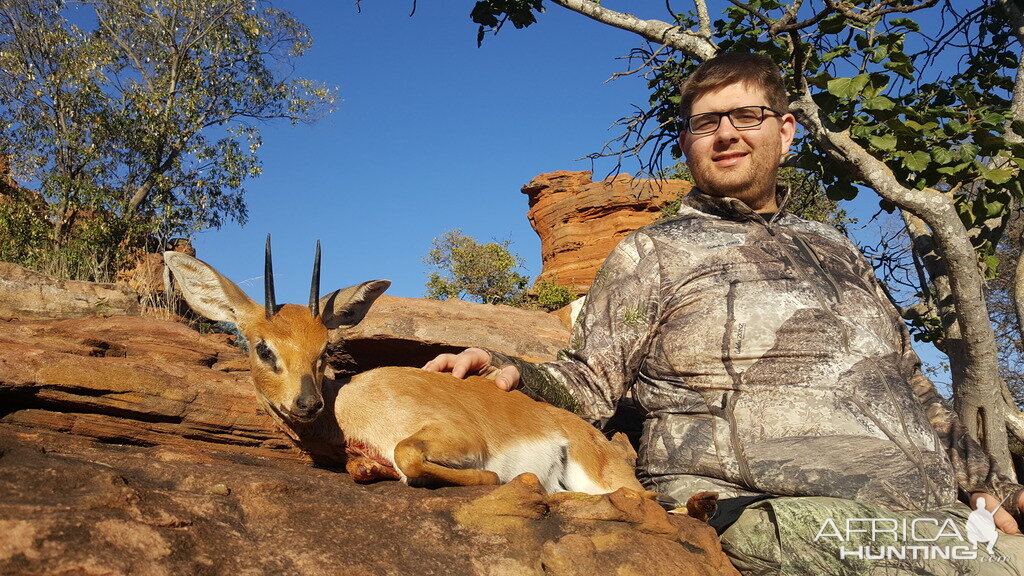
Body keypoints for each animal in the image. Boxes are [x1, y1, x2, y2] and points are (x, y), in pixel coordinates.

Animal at [164, 237, 651, 494]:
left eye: (325, 349)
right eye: (263, 348)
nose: (307, 403)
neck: (349, 408)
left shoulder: (453, 436)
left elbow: (409, 458)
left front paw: (492, 477)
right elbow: (367, 467)